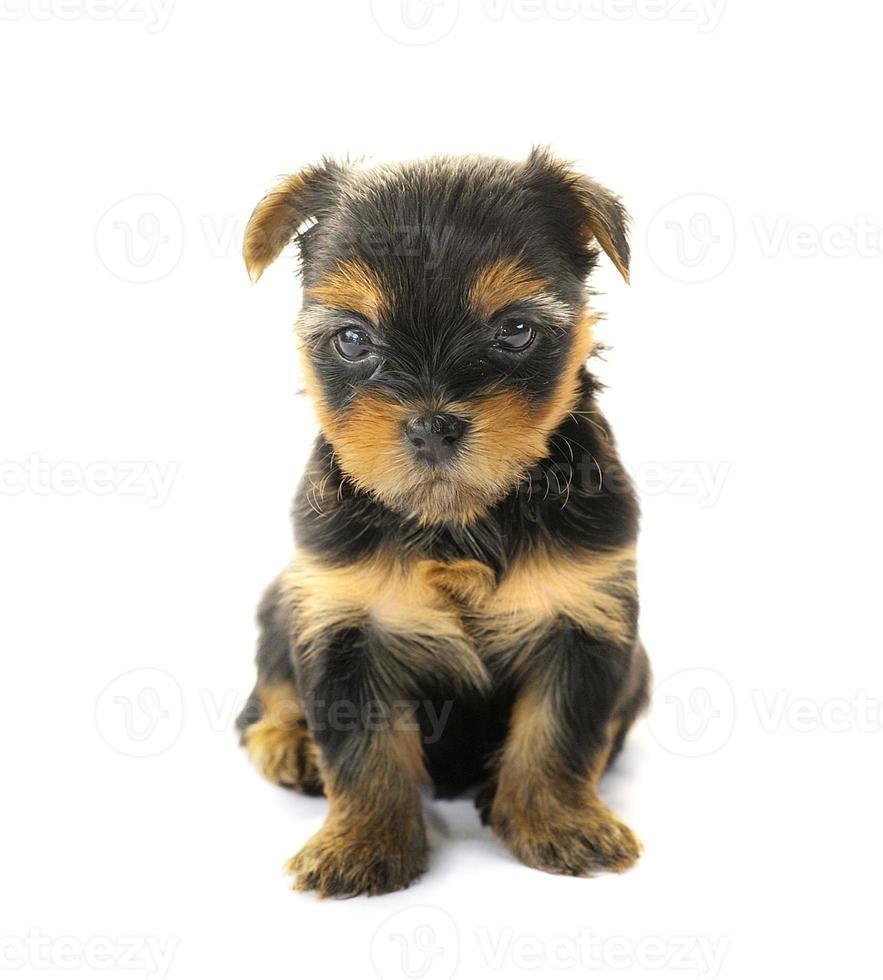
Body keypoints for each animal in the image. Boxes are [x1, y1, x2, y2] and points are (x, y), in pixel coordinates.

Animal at [238, 147, 652, 896]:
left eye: (514, 330)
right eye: (353, 340)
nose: (432, 425)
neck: (457, 516)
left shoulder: (586, 612)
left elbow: (561, 731)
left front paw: (558, 823)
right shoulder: (342, 618)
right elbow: (363, 746)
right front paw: (361, 845)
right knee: (268, 692)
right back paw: (288, 746)